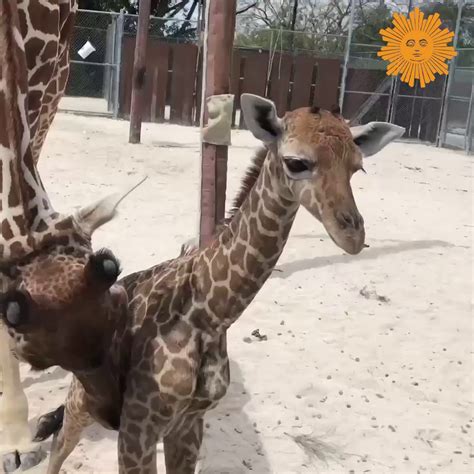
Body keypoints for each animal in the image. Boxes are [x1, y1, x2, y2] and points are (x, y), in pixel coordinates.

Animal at [2, 93, 404, 474]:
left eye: (357, 166)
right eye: (296, 162)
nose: (353, 235)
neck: (209, 313)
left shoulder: (189, 422)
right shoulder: (138, 426)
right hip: (83, 403)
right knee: (58, 449)